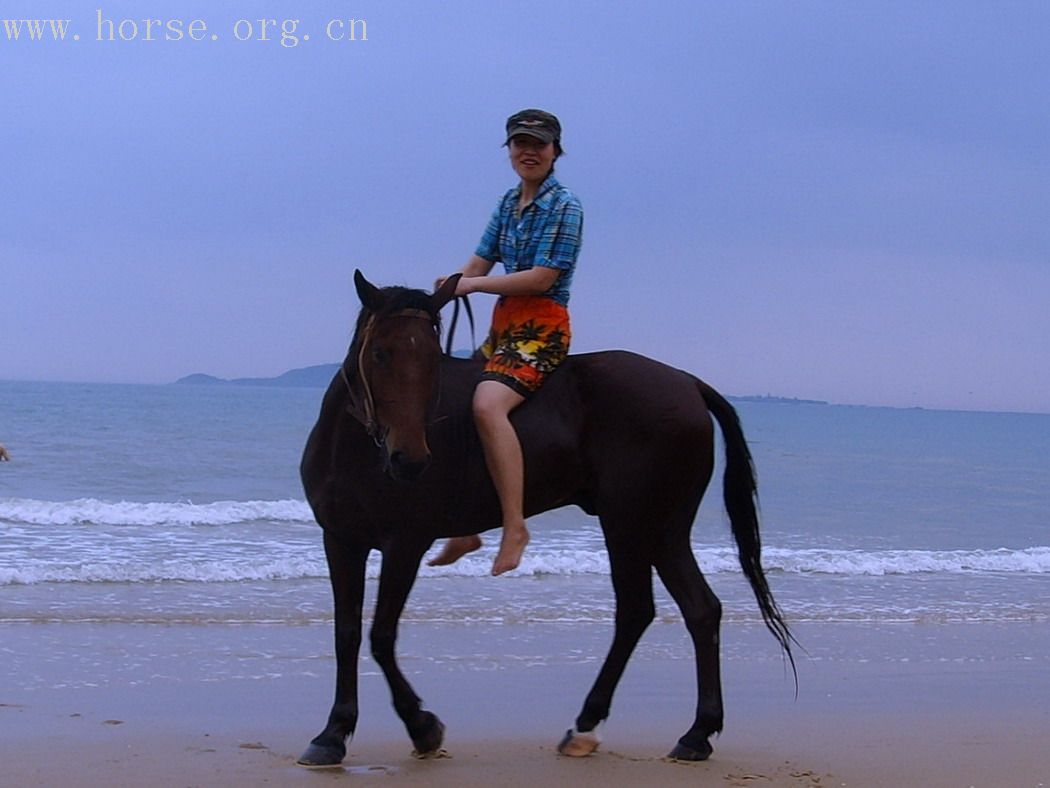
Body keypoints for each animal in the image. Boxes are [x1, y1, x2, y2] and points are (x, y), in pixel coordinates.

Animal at [298, 273, 793, 773]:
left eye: (432, 359)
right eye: (380, 352)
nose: (411, 459)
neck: (354, 450)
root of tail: (688, 384)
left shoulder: (405, 544)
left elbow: (381, 636)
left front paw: (421, 727)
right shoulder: (340, 540)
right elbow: (346, 633)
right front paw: (333, 732)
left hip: (628, 523)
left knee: (636, 611)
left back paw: (592, 724)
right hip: (663, 529)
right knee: (700, 609)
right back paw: (696, 733)